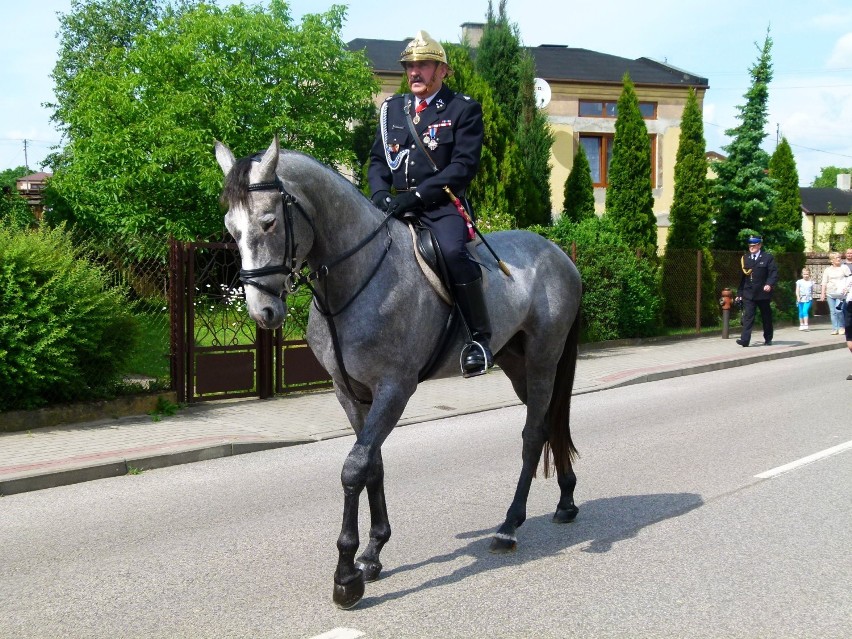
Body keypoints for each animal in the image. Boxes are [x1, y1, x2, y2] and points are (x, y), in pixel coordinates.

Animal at [216, 136, 584, 608]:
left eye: (267, 222)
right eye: (231, 228)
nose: (262, 312)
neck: (358, 278)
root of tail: (558, 254)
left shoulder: (395, 389)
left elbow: (354, 467)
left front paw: (346, 576)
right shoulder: (349, 392)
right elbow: (372, 464)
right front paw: (372, 553)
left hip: (542, 357)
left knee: (533, 433)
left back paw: (508, 525)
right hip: (516, 362)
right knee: (551, 420)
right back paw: (566, 500)